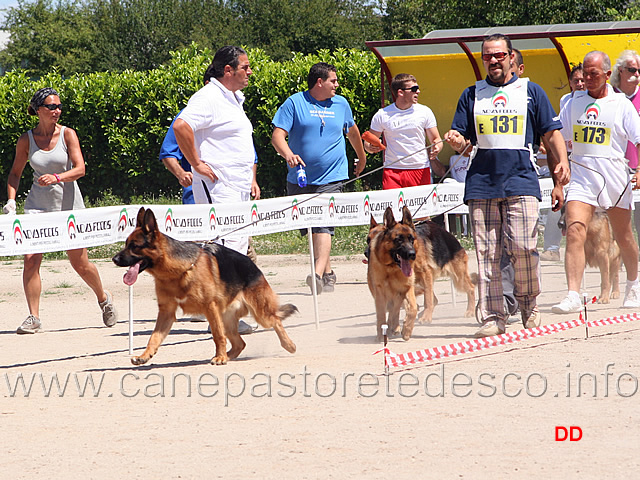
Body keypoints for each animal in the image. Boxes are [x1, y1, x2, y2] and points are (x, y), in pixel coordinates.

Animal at [112, 206, 298, 364]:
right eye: (126, 244)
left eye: (134, 246)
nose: (114, 259)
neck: (177, 271)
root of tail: (253, 266)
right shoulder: (166, 312)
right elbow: (154, 337)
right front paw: (144, 355)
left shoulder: (210, 307)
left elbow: (217, 335)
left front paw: (220, 357)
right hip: (227, 319)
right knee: (240, 343)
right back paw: (228, 356)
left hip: (259, 313)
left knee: (275, 320)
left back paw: (288, 345)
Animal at [368, 206, 478, 342]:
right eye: (368, 239)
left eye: (411, 239)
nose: (412, 254)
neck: (391, 267)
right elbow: (393, 310)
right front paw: (394, 327)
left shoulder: (421, 277)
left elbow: (425, 301)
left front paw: (419, 321)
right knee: (433, 298)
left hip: (457, 279)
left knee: (470, 288)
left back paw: (470, 310)